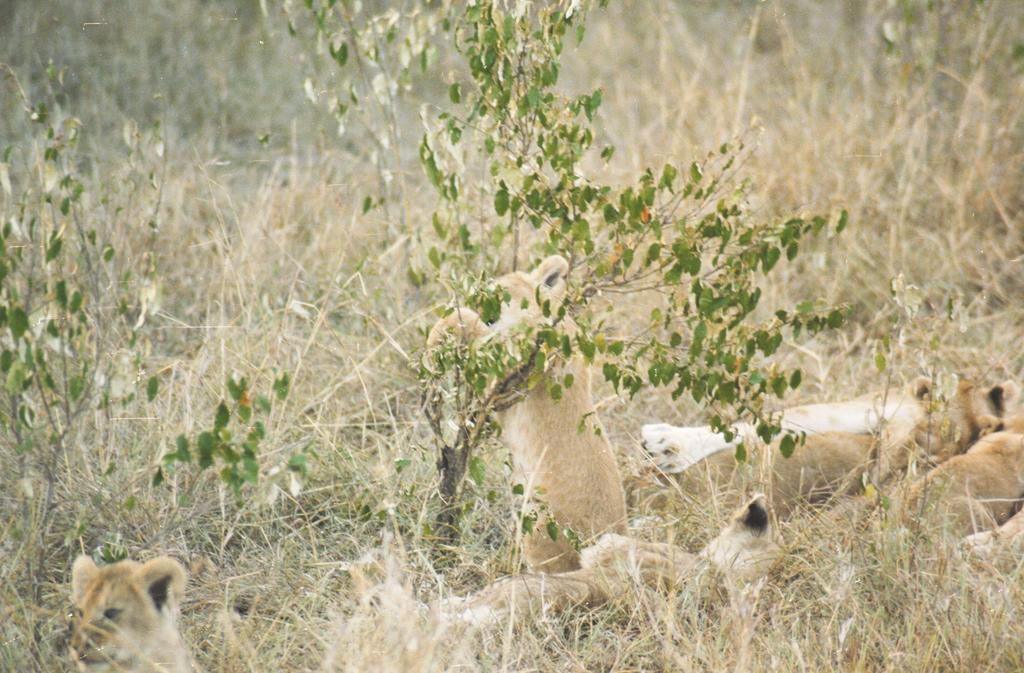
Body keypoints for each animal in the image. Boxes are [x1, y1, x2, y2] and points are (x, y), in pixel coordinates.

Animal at [428, 255, 627, 573]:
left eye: (500, 290)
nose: (477, 296)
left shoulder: (513, 362)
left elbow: (475, 327)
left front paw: (437, 335)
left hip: (537, 524)